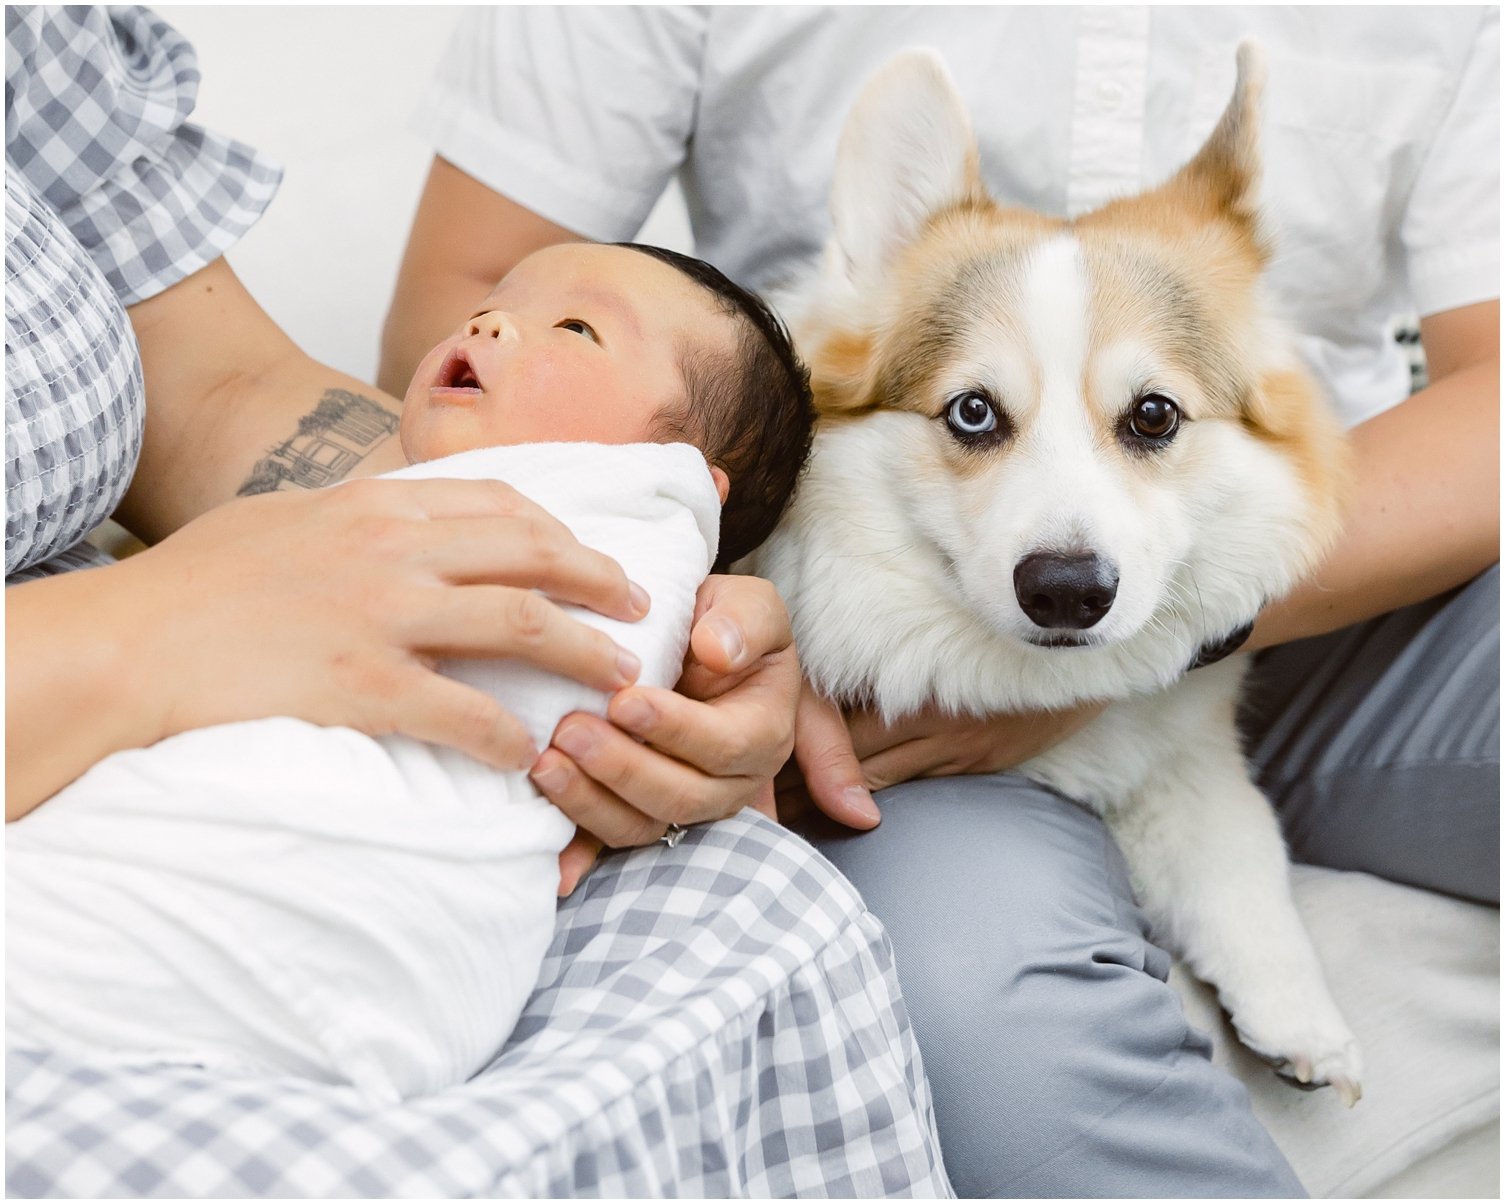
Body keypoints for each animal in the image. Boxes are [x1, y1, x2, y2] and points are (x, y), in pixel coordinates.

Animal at [749, 44, 1366, 1101]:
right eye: (971, 412)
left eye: (1154, 415)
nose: (1067, 591)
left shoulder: (1188, 757)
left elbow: (1246, 861)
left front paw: (1302, 1019)